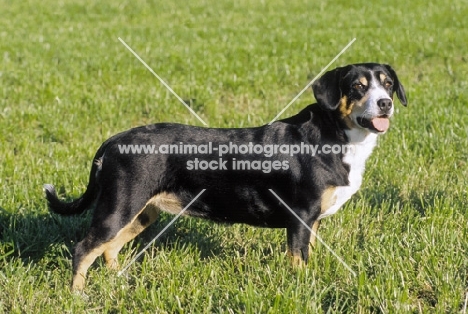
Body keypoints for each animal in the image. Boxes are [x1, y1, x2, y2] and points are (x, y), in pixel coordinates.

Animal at [45, 62, 408, 290]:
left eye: (388, 84)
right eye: (358, 87)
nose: (385, 103)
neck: (337, 136)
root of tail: (114, 140)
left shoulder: (312, 221)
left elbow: (310, 254)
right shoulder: (301, 216)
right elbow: (298, 259)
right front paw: (303, 287)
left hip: (140, 213)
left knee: (109, 249)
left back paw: (119, 281)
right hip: (119, 205)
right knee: (84, 249)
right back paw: (77, 295)